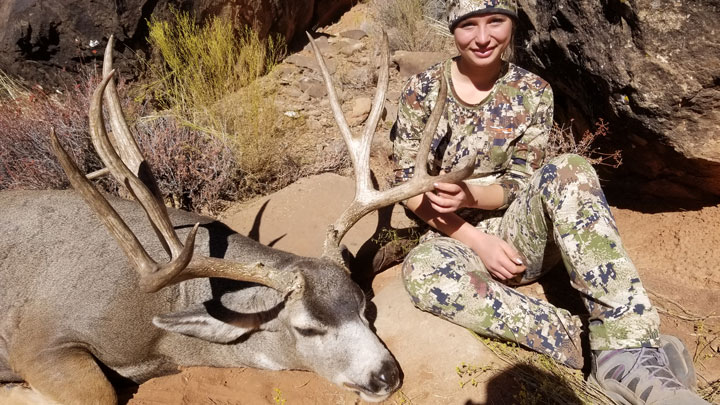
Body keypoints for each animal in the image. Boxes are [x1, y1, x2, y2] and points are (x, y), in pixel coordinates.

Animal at [0, 33, 476, 402]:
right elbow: (97, 391)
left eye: (364, 307)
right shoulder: (41, 340)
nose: (386, 376)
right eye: (307, 330)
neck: (161, 329)